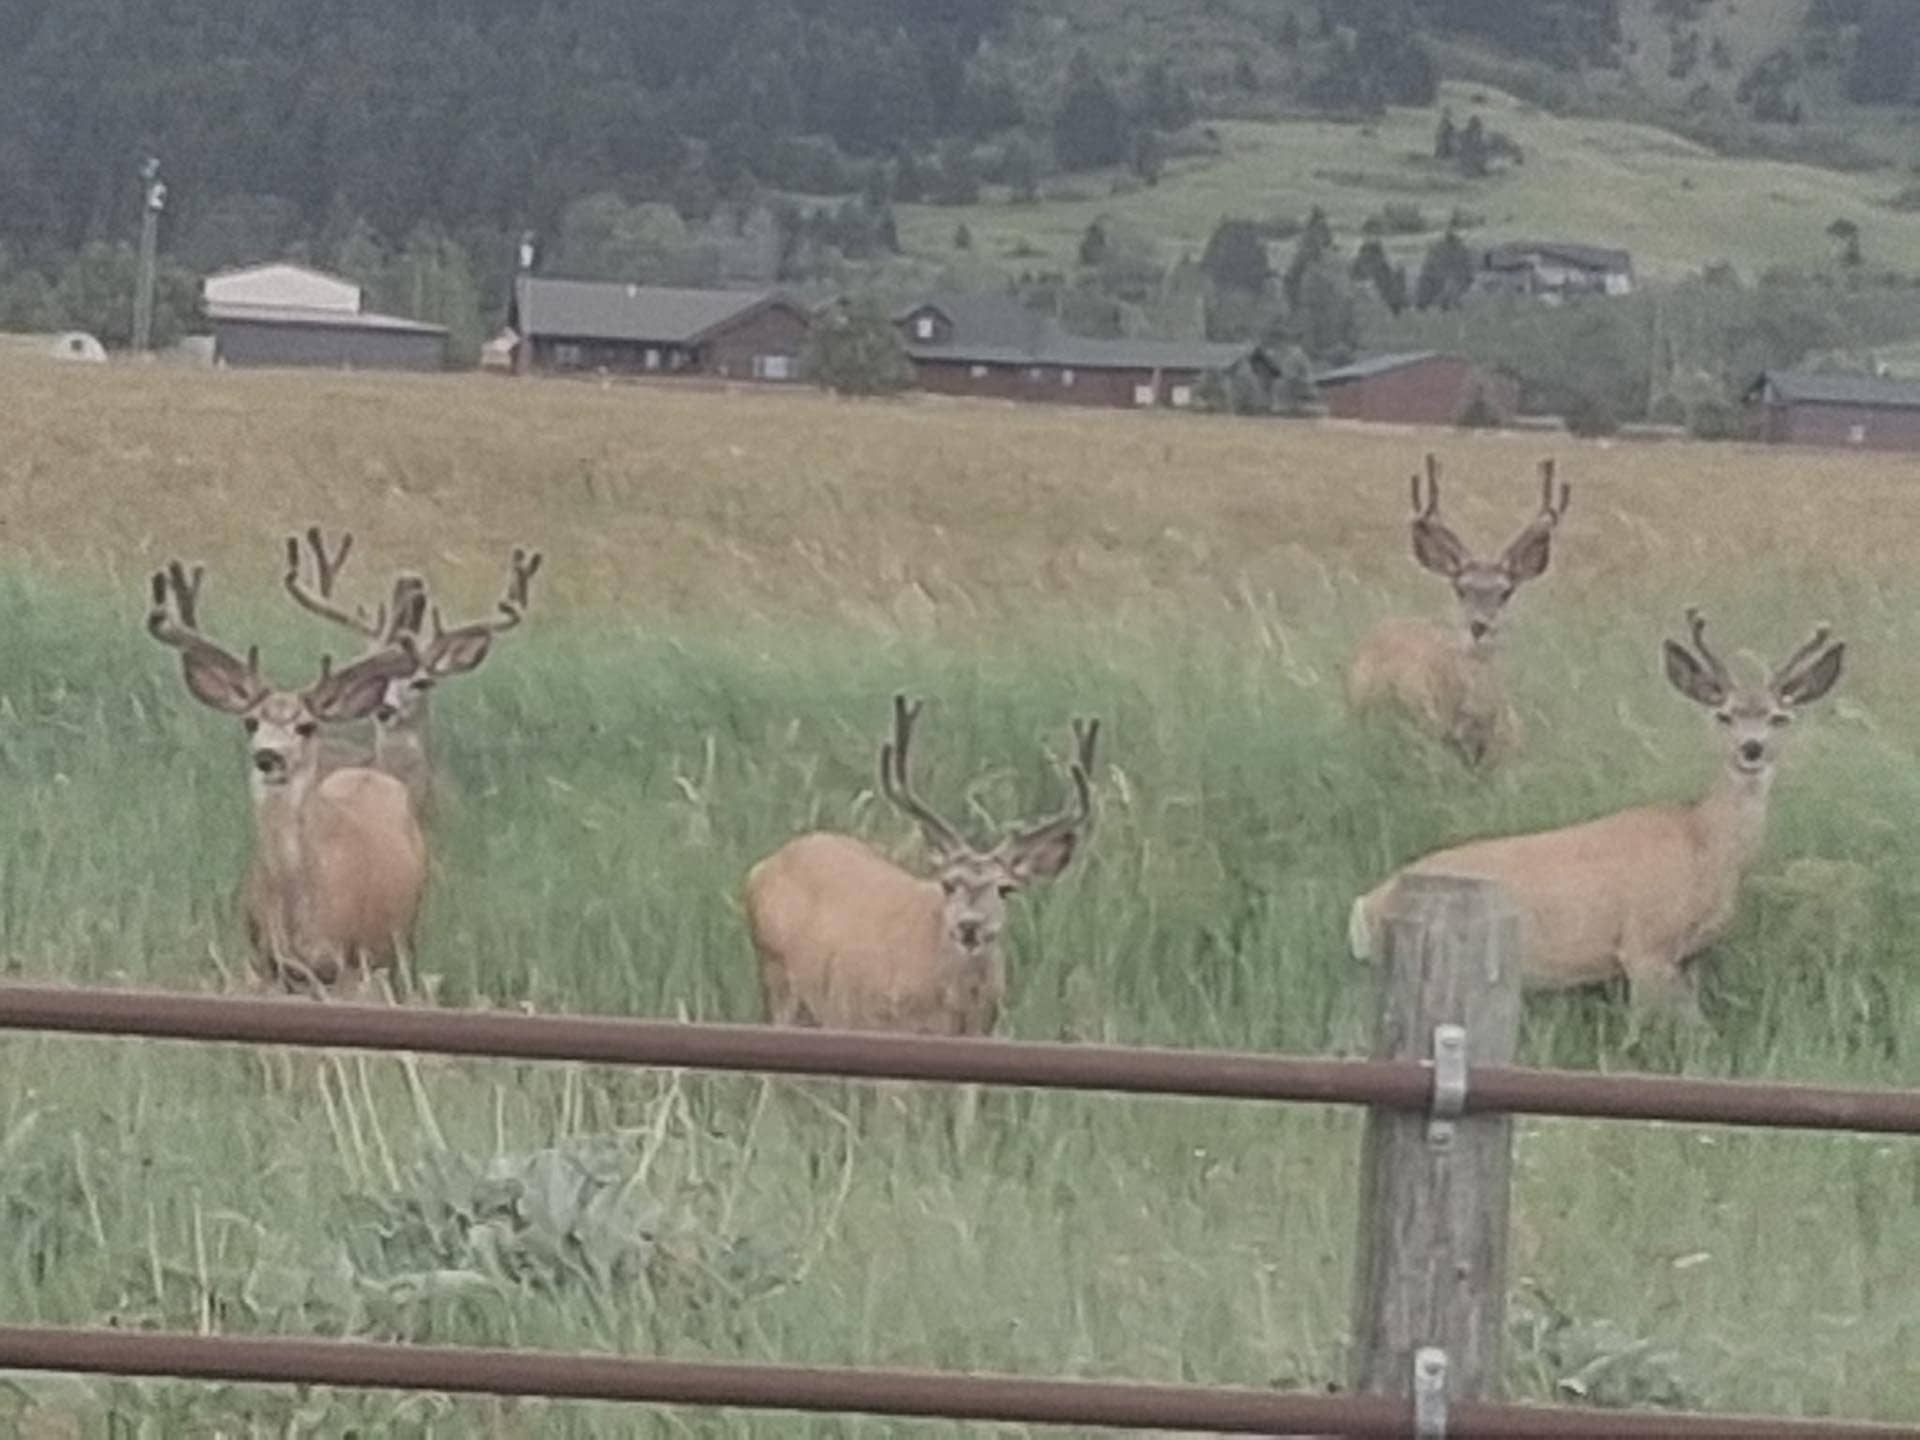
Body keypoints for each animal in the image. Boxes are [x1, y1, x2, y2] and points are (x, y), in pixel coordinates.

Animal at [146, 559, 429, 993]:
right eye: (250, 722)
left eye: (306, 726)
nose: (268, 756)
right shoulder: (262, 962)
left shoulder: (346, 962)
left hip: (395, 943)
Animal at [744, 695, 1099, 1035]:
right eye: (948, 883)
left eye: (1006, 888)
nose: (969, 926)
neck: (956, 1011)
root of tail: (766, 864)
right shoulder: (874, 1019)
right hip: (778, 978)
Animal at [1348, 611, 1845, 1016]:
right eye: (1722, 715)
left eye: (1780, 717)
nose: (1751, 749)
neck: (1704, 842)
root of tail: (1366, 905)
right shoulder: (1645, 943)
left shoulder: (1686, 958)